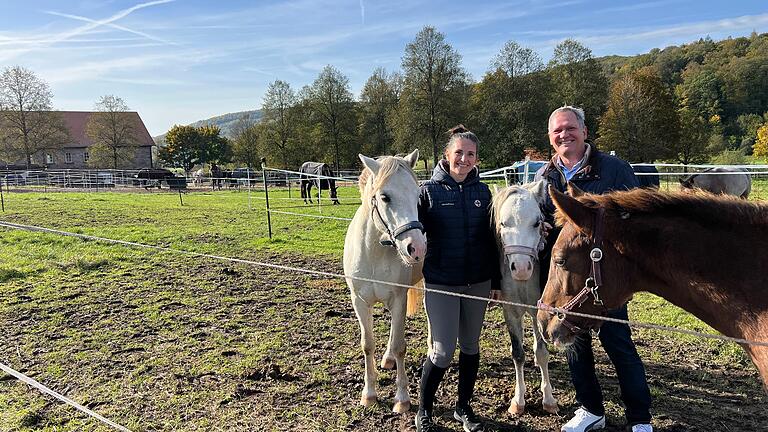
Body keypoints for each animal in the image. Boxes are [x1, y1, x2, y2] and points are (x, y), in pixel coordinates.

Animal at [344, 150, 428, 414]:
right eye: (384, 197)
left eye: (417, 195)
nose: (416, 247)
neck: (374, 252)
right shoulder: (360, 302)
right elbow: (367, 344)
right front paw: (369, 394)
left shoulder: (398, 299)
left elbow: (401, 345)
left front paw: (402, 399)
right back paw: (387, 358)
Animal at [492, 179, 560, 416]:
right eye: (503, 224)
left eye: (537, 223)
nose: (521, 269)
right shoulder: (510, 312)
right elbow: (518, 353)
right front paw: (518, 400)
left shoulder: (538, 311)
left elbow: (541, 352)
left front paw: (549, 398)